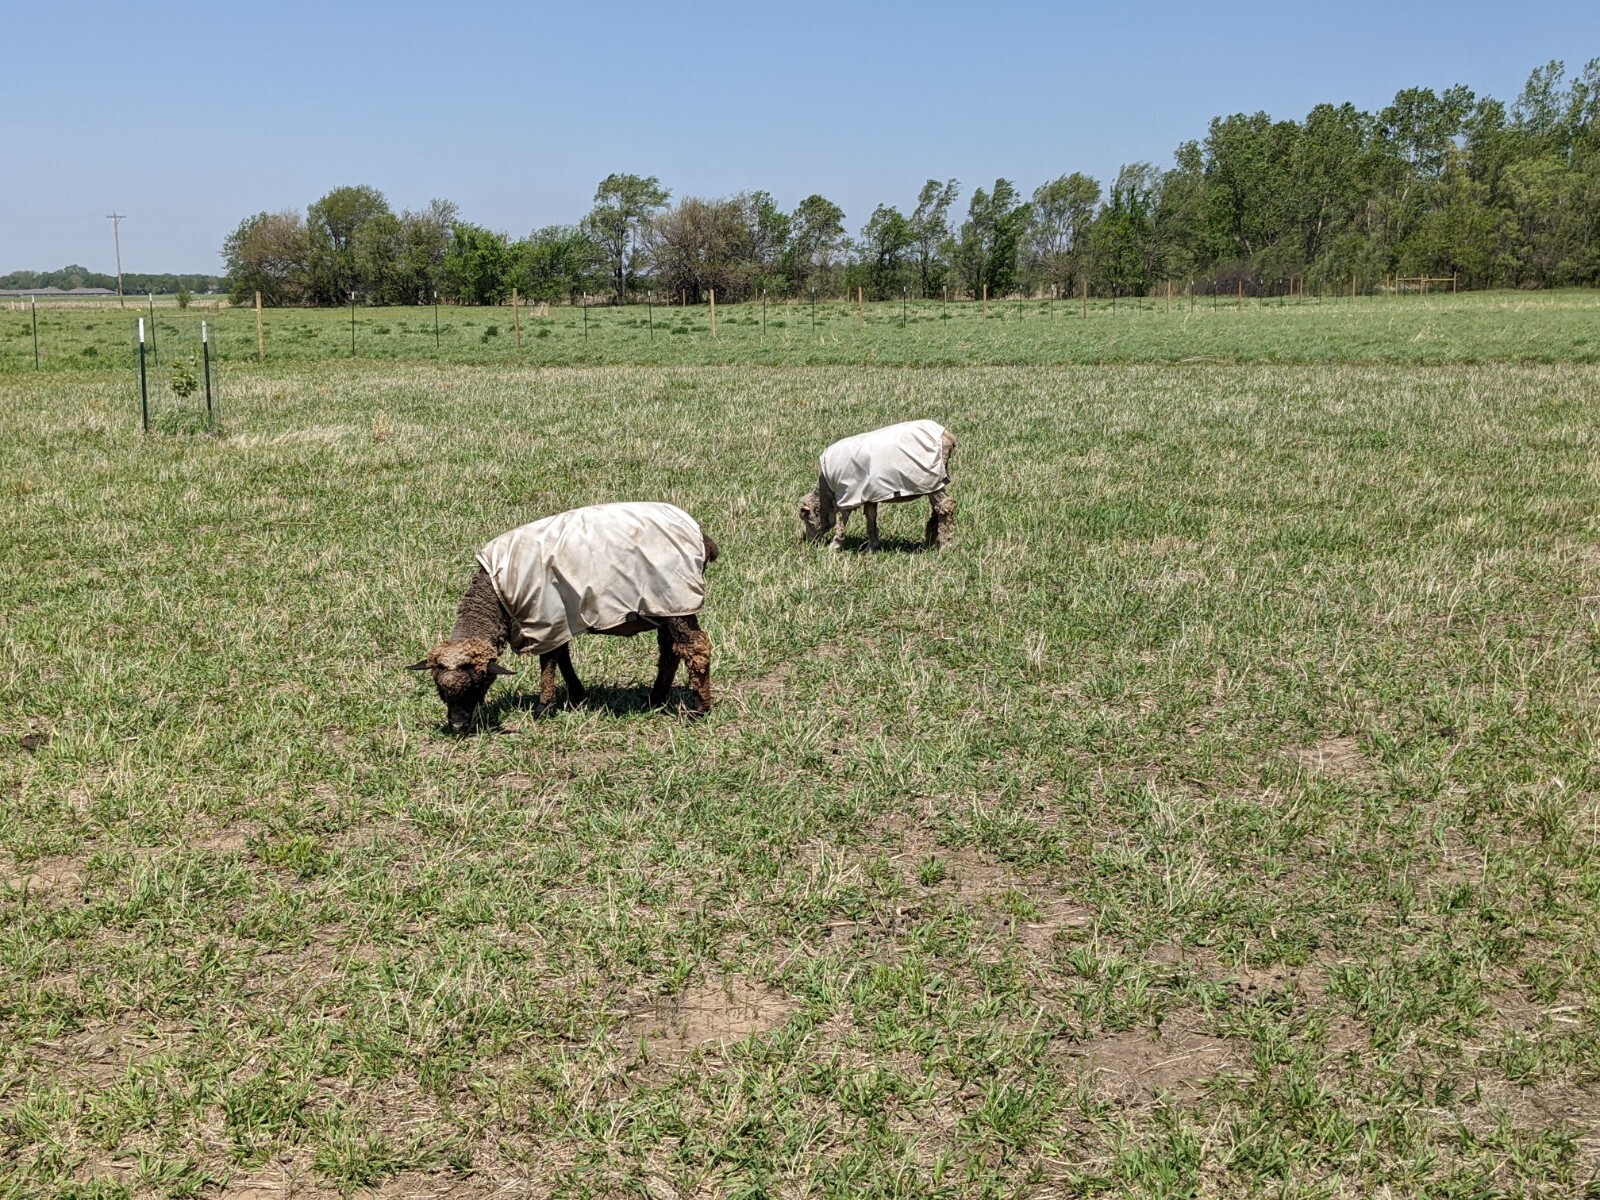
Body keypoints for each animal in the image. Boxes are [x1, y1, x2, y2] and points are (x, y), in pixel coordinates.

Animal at [409, 502, 717, 733]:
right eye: (438, 689)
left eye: (477, 684)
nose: (458, 727)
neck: (495, 594)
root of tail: (702, 538)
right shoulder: (560, 619)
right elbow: (563, 658)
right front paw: (576, 695)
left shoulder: (545, 617)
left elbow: (548, 662)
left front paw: (543, 707)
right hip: (666, 605)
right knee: (670, 649)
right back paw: (656, 698)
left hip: (677, 599)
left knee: (695, 647)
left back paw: (699, 708)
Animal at [799, 419, 956, 551]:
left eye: (807, 519)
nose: (811, 543)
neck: (827, 490)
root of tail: (948, 437)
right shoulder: (868, 494)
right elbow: (870, 518)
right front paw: (871, 547)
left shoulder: (848, 494)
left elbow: (843, 519)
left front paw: (834, 546)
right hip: (934, 483)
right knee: (937, 509)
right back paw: (929, 543)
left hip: (932, 478)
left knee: (945, 506)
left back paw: (945, 546)